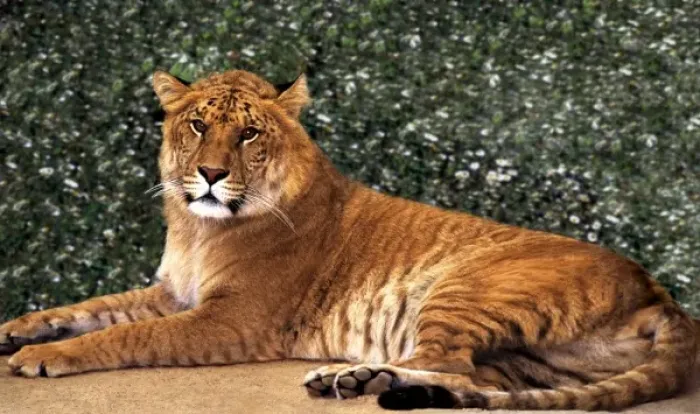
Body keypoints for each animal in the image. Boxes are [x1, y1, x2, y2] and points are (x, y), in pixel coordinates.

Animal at [1, 69, 698, 411]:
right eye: (197, 125)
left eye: (249, 134)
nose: (211, 174)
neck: (198, 226)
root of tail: (658, 291)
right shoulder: (172, 294)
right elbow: (91, 308)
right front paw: (18, 329)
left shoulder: (232, 322)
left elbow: (125, 335)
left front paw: (44, 357)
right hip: (528, 359)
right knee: (475, 379)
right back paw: (370, 383)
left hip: (466, 286)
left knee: (448, 361)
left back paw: (351, 377)